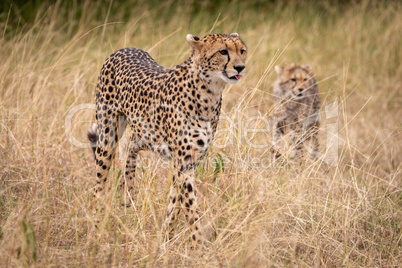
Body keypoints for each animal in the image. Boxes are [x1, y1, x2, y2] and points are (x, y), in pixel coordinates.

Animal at [86, 33, 247, 247]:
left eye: (242, 51)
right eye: (223, 51)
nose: (240, 67)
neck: (210, 91)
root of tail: (124, 49)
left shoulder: (190, 161)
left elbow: (176, 201)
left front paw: (166, 236)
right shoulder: (184, 162)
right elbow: (189, 206)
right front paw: (198, 246)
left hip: (145, 133)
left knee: (130, 148)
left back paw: (128, 196)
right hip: (108, 136)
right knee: (99, 183)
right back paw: (95, 227)